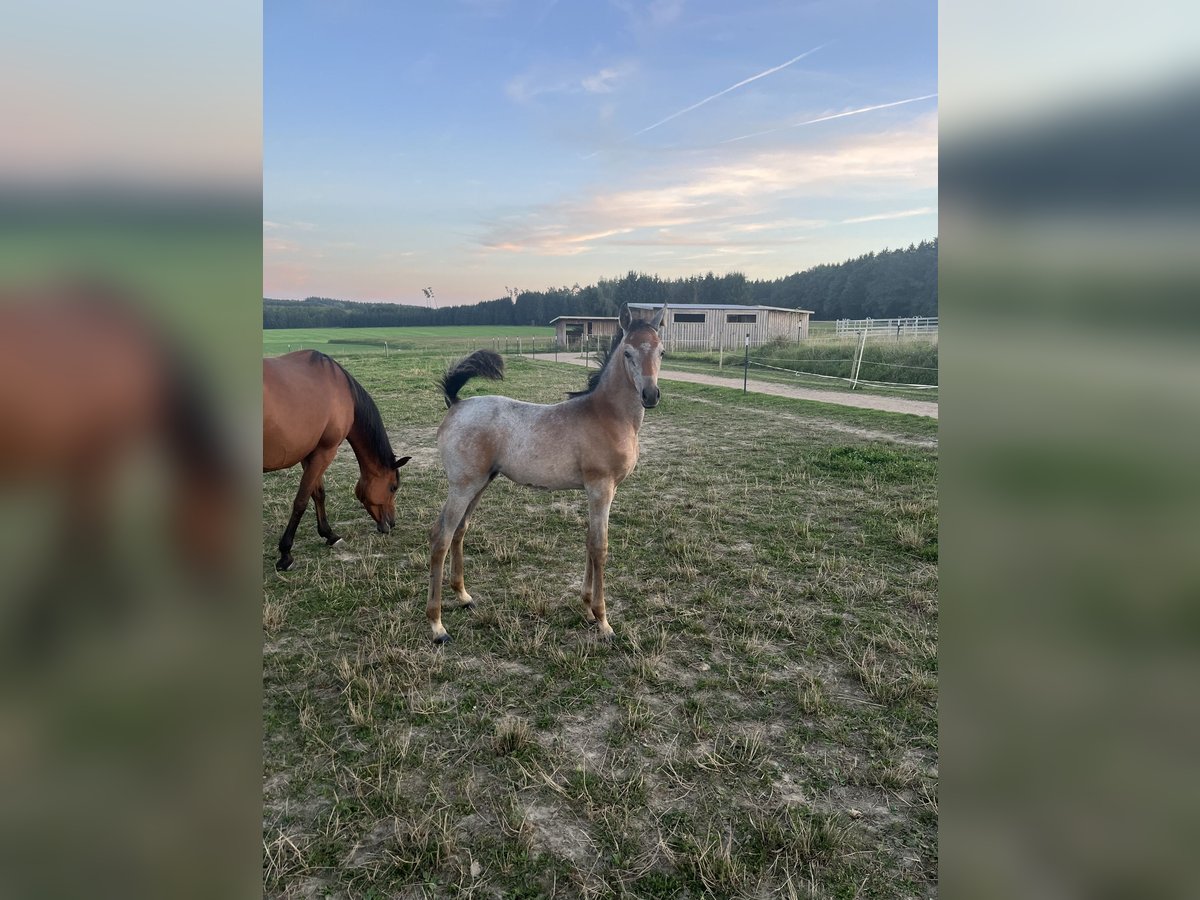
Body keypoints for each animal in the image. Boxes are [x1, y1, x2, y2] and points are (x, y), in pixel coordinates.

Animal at [262, 352, 412, 571]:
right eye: (393, 487)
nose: (391, 524)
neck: (341, 389)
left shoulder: (312, 454)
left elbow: (318, 494)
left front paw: (329, 535)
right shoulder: (326, 451)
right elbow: (301, 501)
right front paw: (285, 553)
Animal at [427, 307, 667, 643]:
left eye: (662, 351)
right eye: (628, 353)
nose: (650, 395)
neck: (608, 416)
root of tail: (456, 403)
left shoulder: (602, 491)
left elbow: (588, 542)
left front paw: (586, 608)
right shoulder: (600, 488)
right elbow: (600, 547)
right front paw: (603, 621)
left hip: (480, 484)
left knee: (460, 531)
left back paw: (463, 596)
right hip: (462, 486)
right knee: (441, 538)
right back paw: (437, 626)